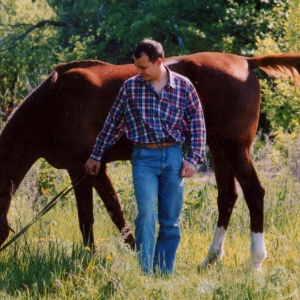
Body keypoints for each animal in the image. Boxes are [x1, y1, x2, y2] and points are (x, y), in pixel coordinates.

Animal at [0, 52, 300, 270]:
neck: (52, 102)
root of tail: (246, 62)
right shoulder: (85, 171)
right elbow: (104, 215)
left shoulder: (86, 169)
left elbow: (102, 215)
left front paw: (100, 258)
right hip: (218, 149)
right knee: (227, 197)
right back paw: (210, 258)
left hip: (236, 149)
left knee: (254, 194)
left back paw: (255, 262)